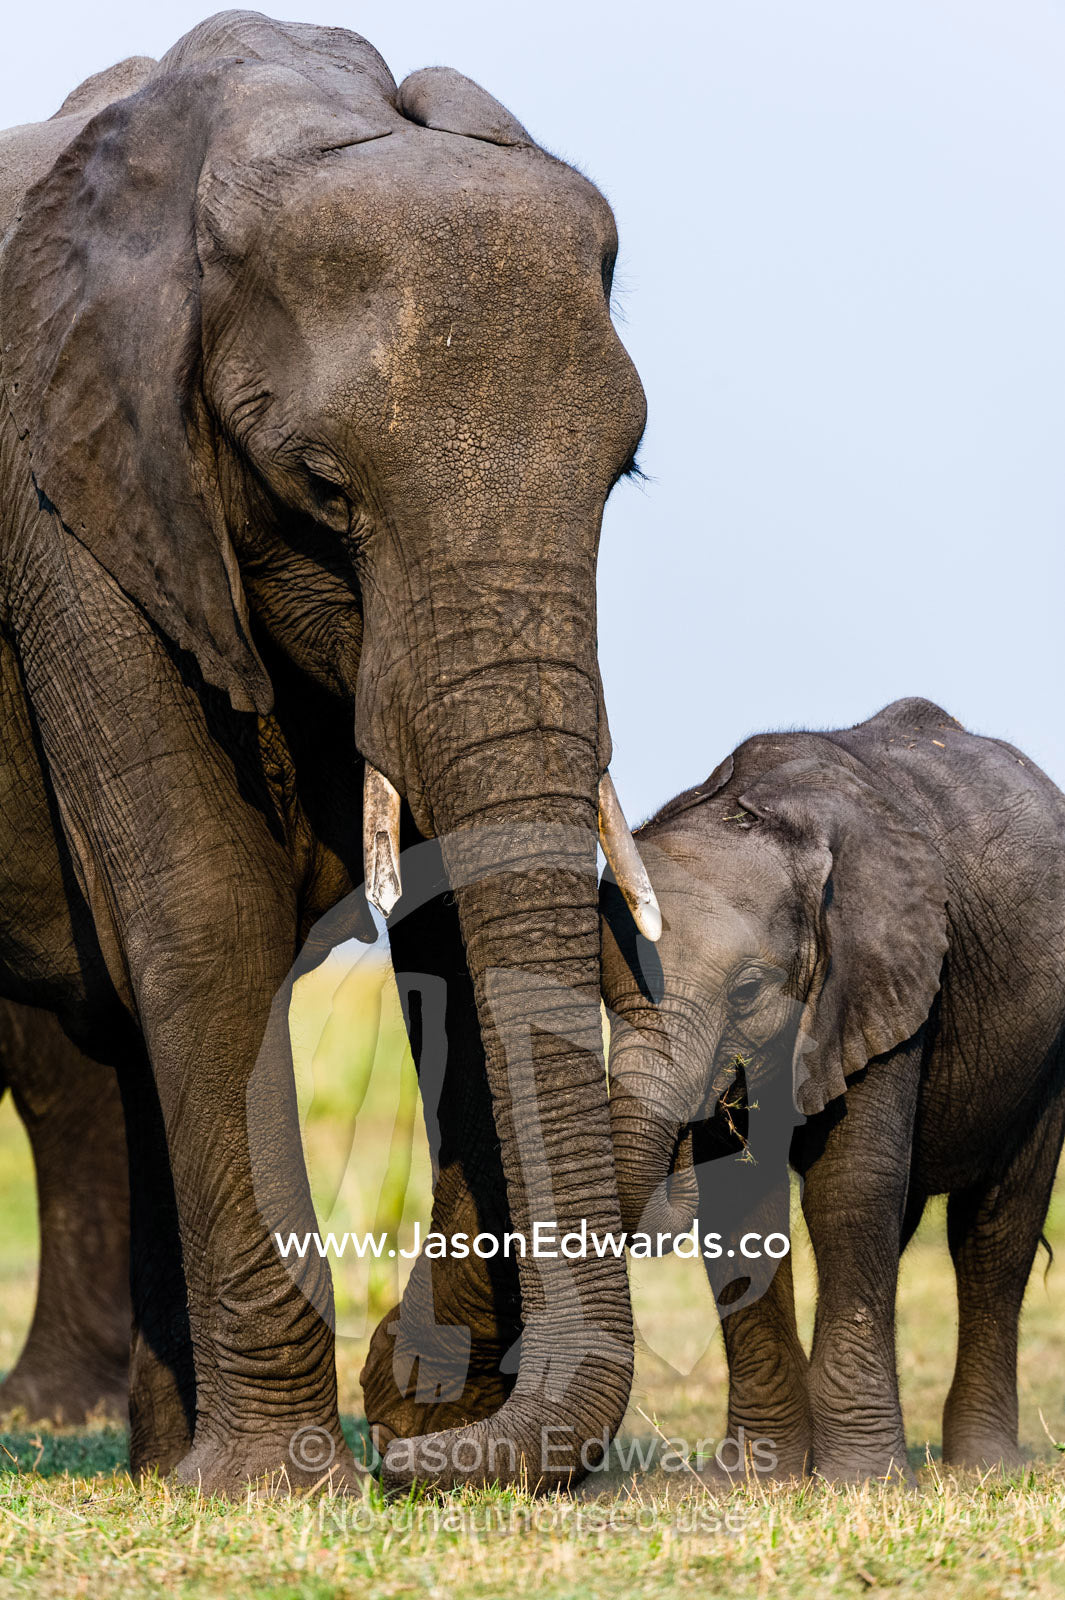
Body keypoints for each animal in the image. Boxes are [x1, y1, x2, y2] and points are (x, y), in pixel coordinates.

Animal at [0, 11, 664, 1493]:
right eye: (320, 486)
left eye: (625, 477)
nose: (416, 1453)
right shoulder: (61, 501)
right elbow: (201, 904)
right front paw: (279, 1486)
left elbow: (452, 927)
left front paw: (423, 1409)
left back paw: (150, 1457)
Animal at [600, 697, 1065, 1481]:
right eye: (605, 992)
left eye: (747, 991)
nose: (692, 1129)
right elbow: (738, 1204)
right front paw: (755, 1480)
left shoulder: (883, 974)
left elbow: (849, 1189)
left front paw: (862, 1481)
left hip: (1048, 1046)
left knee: (995, 1228)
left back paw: (984, 1467)